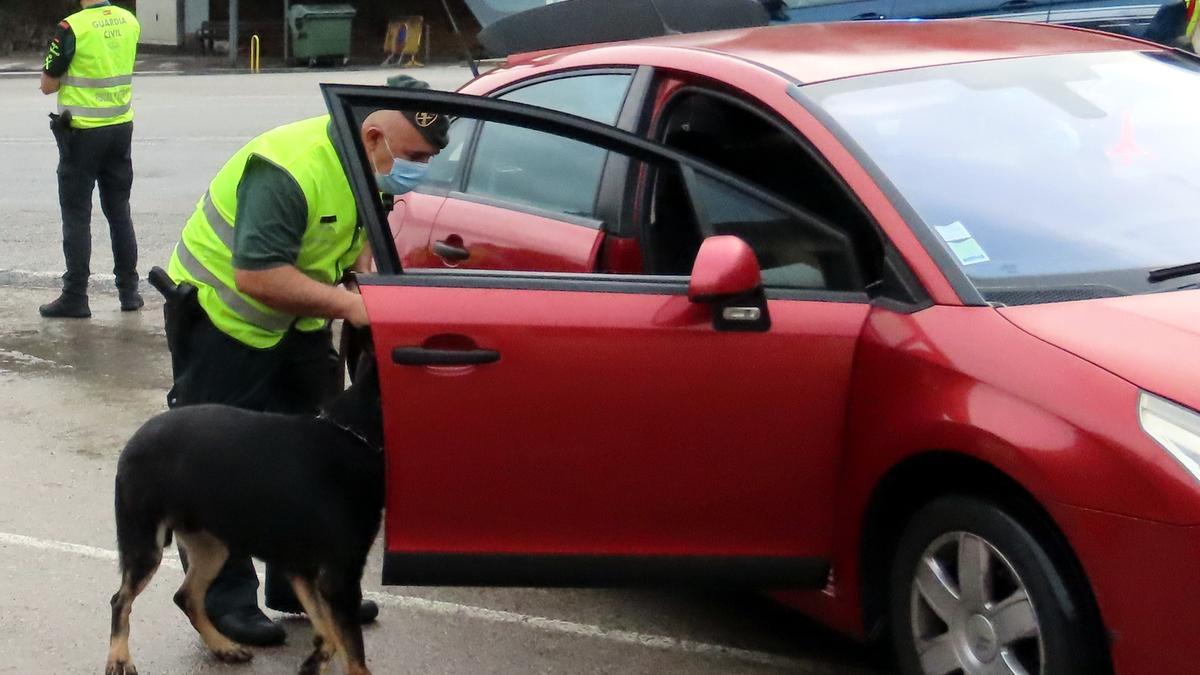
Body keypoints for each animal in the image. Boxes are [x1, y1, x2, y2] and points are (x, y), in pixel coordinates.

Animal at [107, 333, 381, 672]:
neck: (354, 434)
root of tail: (135, 439)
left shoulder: (304, 572)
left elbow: (328, 632)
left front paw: (315, 661)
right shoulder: (340, 577)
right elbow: (354, 653)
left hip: (212, 547)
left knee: (186, 596)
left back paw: (223, 646)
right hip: (147, 547)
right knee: (121, 600)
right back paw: (119, 657)